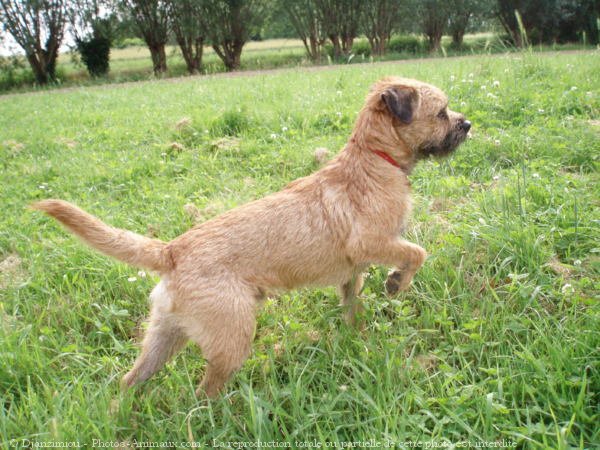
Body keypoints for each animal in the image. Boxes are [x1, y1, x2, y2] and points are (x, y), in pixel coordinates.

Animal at [32, 77, 472, 398]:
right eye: (441, 112)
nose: (467, 123)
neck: (374, 158)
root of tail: (172, 250)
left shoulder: (353, 270)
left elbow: (352, 303)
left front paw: (356, 335)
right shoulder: (372, 243)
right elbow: (417, 253)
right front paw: (397, 283)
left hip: (163, 336)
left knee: (132, 380)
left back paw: (122, 413)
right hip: (232, 336)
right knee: (205, 392)